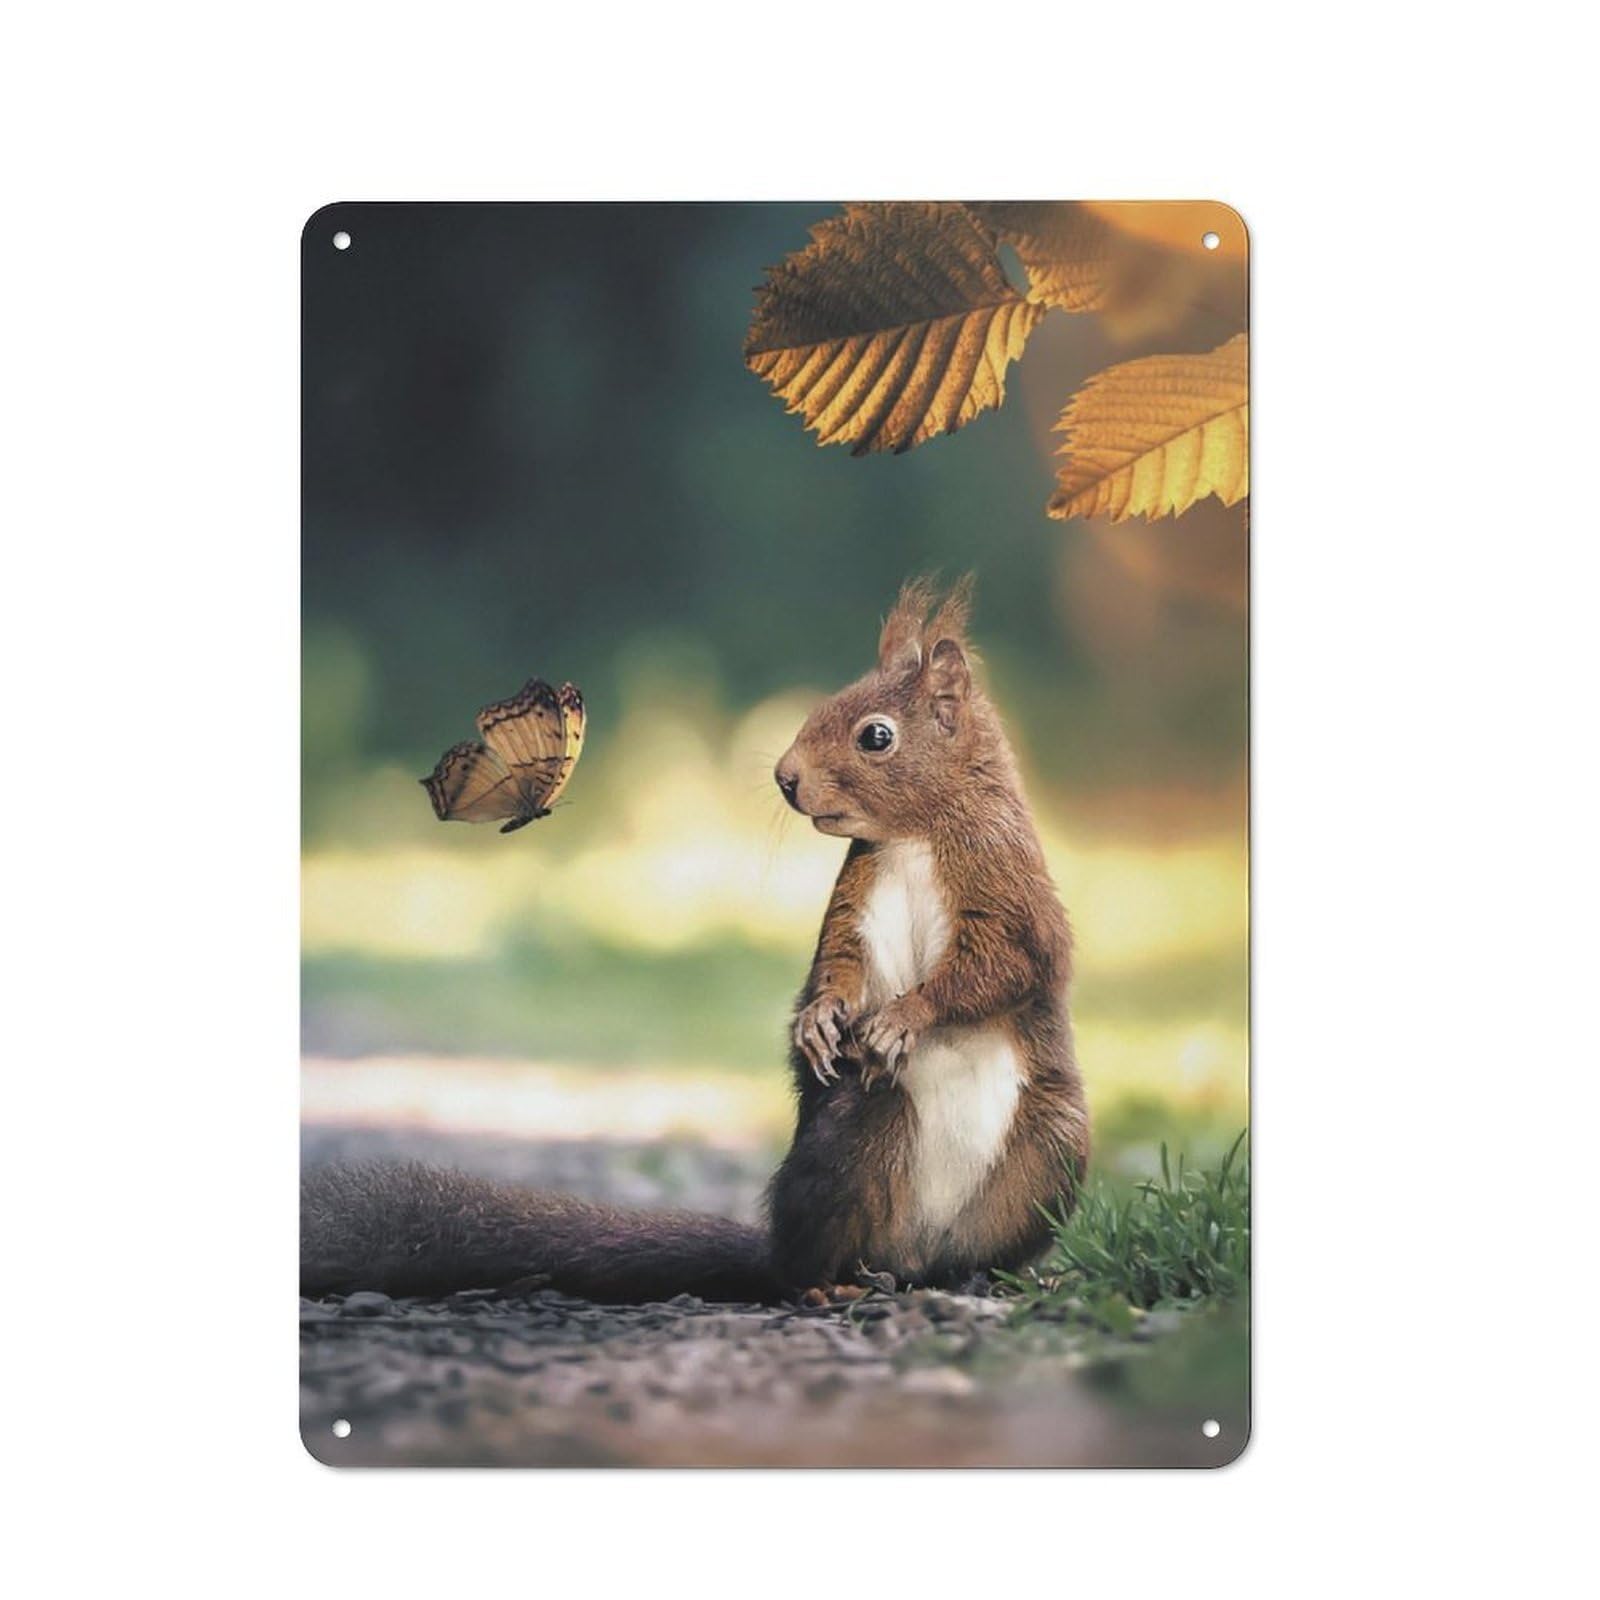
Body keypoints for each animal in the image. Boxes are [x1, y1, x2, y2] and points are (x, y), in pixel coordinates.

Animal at [301, 578, 1088, 1303]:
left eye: (877, 734)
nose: (785, 778)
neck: (915, 835)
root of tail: (913, 1257)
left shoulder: (1008, 889)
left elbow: (1000, 966)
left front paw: (901, 1018)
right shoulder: (855, 901)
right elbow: (838, 964)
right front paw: (818, 1021)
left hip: (1052, 1147)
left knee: (974, 1249)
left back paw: (997, 1275)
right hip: (862, 1132)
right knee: (810, 1259)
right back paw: (830, 1285)